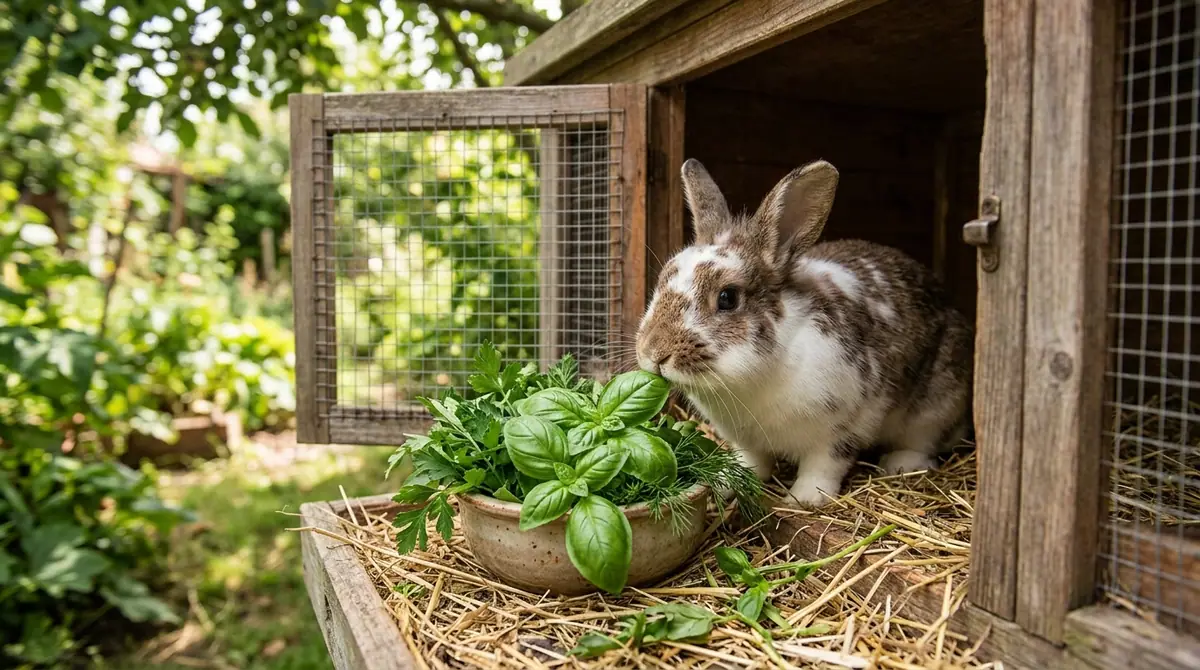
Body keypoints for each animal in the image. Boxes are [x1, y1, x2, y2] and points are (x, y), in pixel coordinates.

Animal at [634, 158, 973, 508]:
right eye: (662, 280)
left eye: (727, 297)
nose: (654, 352)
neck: (752, 382)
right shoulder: (745, 439)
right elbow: (751, 462)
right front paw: (728, 482)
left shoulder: (844, 427)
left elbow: (823, 466)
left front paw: (804, 499)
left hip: (936, 407)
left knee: (925, 443)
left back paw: (899, 463)